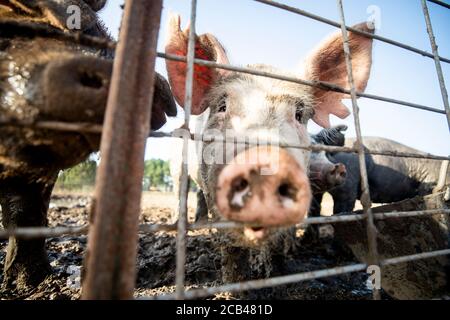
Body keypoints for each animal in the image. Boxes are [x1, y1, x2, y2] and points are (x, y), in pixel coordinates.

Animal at [163, 13, 374, 292]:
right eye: (222, 106)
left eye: (300, 114)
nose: (265, 163)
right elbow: (229, 243)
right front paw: (235, 284)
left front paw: (272, 271)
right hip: (177, 166)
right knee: (182, 190)